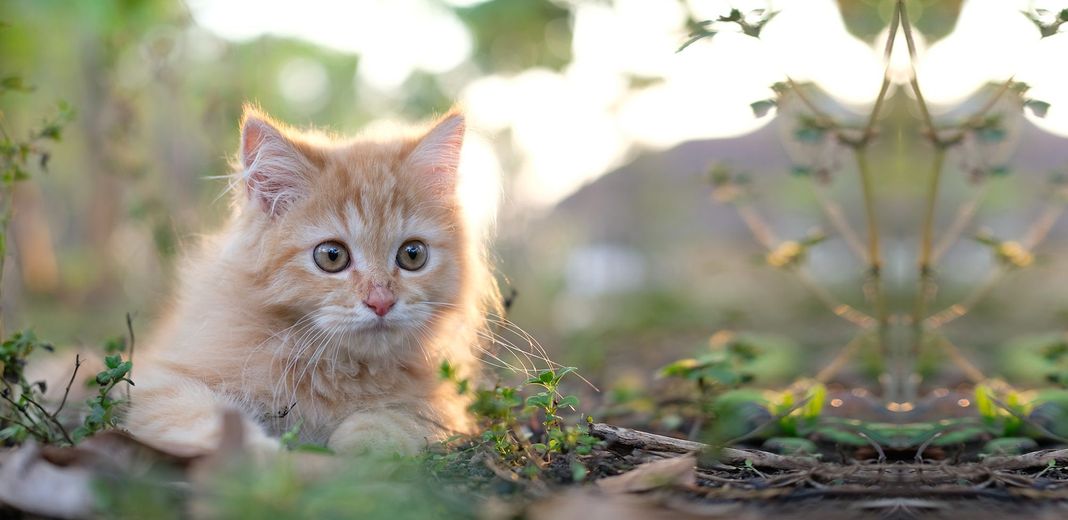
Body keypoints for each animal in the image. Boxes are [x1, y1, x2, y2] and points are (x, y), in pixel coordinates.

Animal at [122, 106, 497, 457]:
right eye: (332, 256)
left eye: (412, 255)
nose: (381, 302)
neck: (339, 370)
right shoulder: (162, 380)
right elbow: (203, 418)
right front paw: (260, 456)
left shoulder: (448, 405)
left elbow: (399, 418)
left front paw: (361, 451)